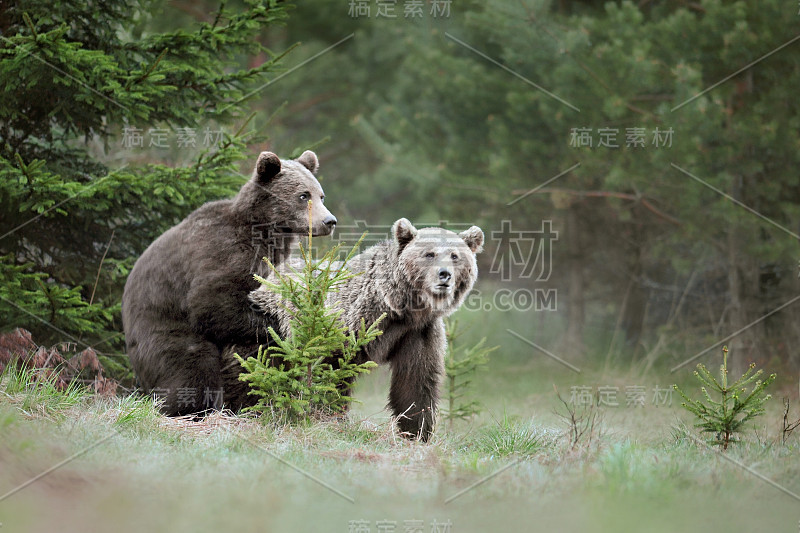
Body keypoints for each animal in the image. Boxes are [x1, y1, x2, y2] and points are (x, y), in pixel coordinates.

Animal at [123, 150, 336, 416]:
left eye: (321, 195)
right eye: (303, 195)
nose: (329, 221)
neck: (264, 233)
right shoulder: (225, 254)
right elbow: (213, 303)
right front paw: (283, 326)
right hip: (162, 329)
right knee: (192, 366)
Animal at [247, 218, 482, 438]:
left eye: (454, 256)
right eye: (429, 254)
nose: (444, 274)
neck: (398, 309)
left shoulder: (417, 333)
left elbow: (416, 382)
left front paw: (416, 432)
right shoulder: (347, 324)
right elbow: (332, 373)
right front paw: (328, 417)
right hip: (271, 324)